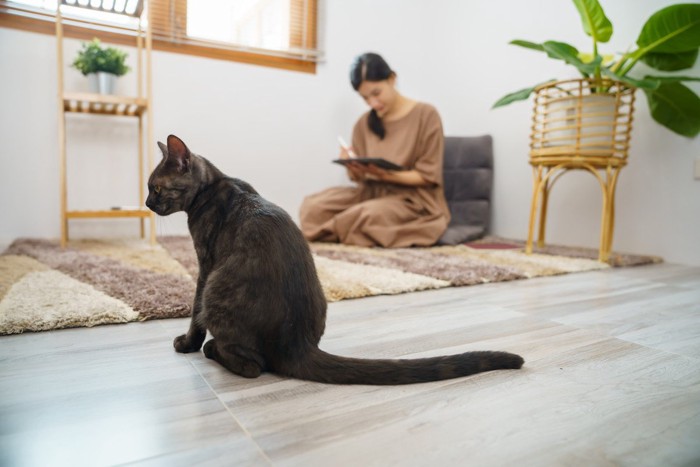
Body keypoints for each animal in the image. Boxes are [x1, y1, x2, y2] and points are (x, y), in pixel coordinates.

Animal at [146, 134, 520, 384]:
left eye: (156, 188)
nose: (147, 203)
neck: (213, 186)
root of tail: (297, 345)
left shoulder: (204, 265)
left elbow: (194, 314)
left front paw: (188, 344)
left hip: (217, 288)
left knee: (253, 366)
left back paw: (212, 350)